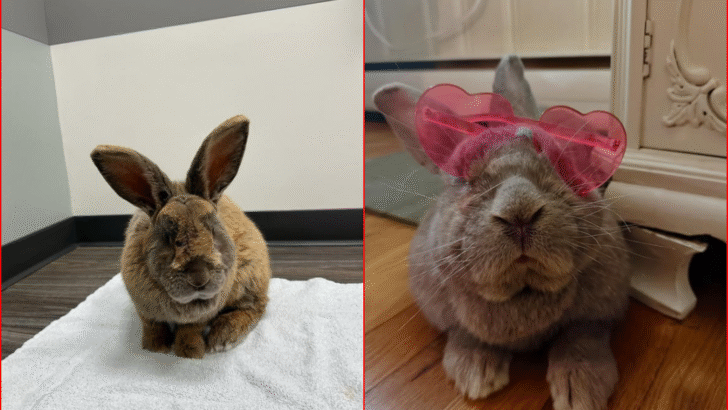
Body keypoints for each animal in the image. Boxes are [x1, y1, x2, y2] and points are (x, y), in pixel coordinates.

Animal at [91, 115, 271, 359]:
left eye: (213, 230)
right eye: (169, 237)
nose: (199, 277)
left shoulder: (203, 315)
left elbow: (190, 329)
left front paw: (189, 352)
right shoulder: (144, 310)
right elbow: (153, 325)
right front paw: (155, 348)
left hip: (249, 277)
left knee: (257, 306)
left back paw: (222, 338)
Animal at [374, 55, 630, 410]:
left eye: (562, 162)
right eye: (462, 178)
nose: (519, 211)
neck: (521, 290)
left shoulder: (597, 318)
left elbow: (581, 340)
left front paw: (581, 390)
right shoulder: (451, 319)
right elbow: (466, 336)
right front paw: (476, 377)